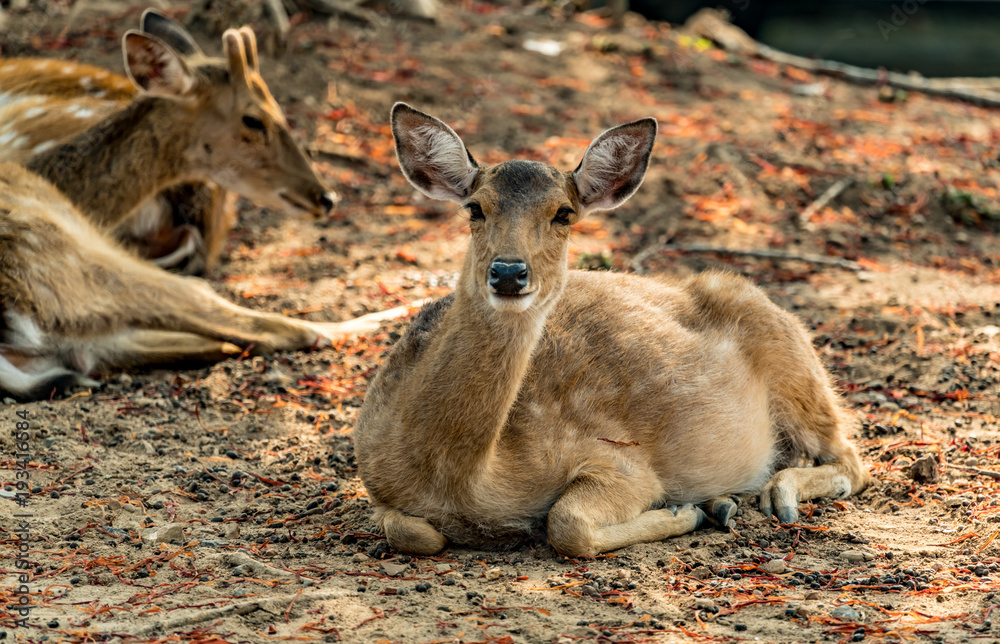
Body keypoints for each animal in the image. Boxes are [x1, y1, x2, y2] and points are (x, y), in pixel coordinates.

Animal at [353, 104, 871, 556]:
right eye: (475, 208)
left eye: (563, 213)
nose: (508, 272)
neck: (459, 482)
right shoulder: (376, 486)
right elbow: (411, 531)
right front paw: (699, 508)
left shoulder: (618, 457)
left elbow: (566, 522)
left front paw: (683, 511)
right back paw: (725, 502)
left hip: (795, 364)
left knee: (850, 456)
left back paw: (767, 498)